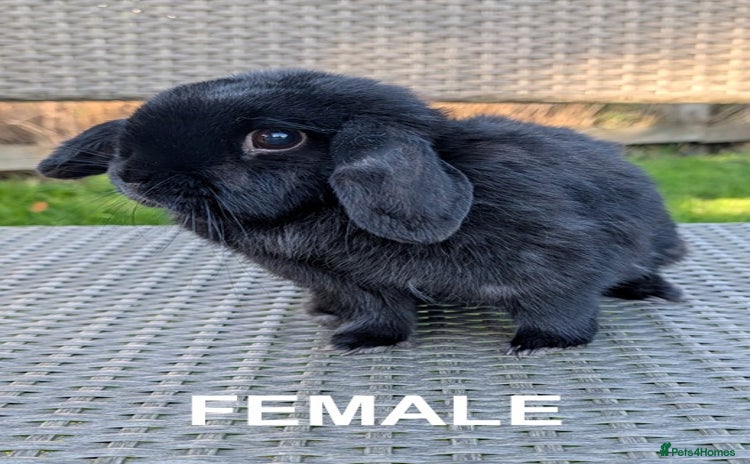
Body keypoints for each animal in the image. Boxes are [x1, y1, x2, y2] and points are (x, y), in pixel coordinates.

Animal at [37, 69, 687, 354]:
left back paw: (652, 288)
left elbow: (562, 306)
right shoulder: (355, 284)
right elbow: (379, 313)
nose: (131, 173)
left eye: (275, 138)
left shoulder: (555, 261)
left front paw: (542, 344)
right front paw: (358, 339)